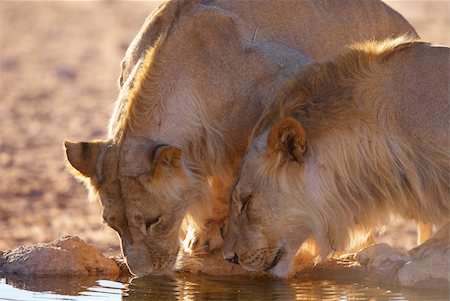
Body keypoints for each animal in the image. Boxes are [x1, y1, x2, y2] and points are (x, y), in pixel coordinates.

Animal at [65, 0, 416, 276]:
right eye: (113, 225)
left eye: (154, 221)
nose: (141, 274)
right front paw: (204, 236)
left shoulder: (284, 84)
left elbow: (235, 186)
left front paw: (217, 238)